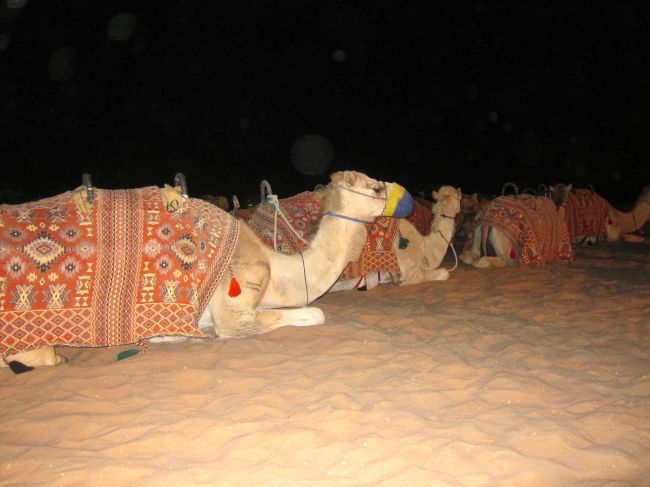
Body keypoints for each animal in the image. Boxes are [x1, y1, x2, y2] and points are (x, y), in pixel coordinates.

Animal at [2, 171, 413, 368]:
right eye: (375, 188)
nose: (407, 198)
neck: (277, 264)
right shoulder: (238, 302)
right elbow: (315, 313)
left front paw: (166, 337)